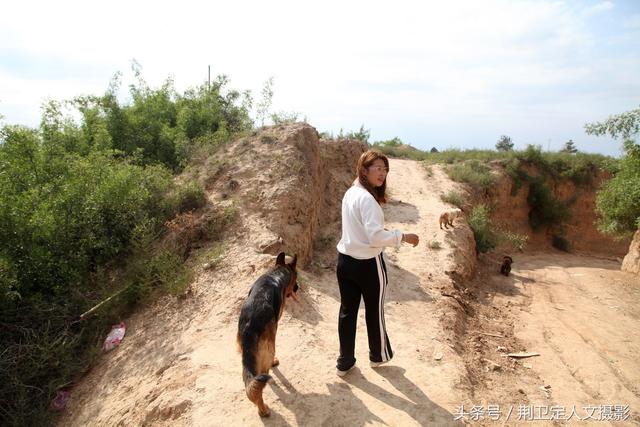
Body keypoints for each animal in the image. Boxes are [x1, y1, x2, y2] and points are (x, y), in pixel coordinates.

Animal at [238, 252, 300, 416]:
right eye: (296, 277)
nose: (298, 287)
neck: (276, 273)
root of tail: (250, 322)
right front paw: (274, 362)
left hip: (245, 353)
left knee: (250, 380)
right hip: (268, 348)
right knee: (261, 378)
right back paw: (263, 410)